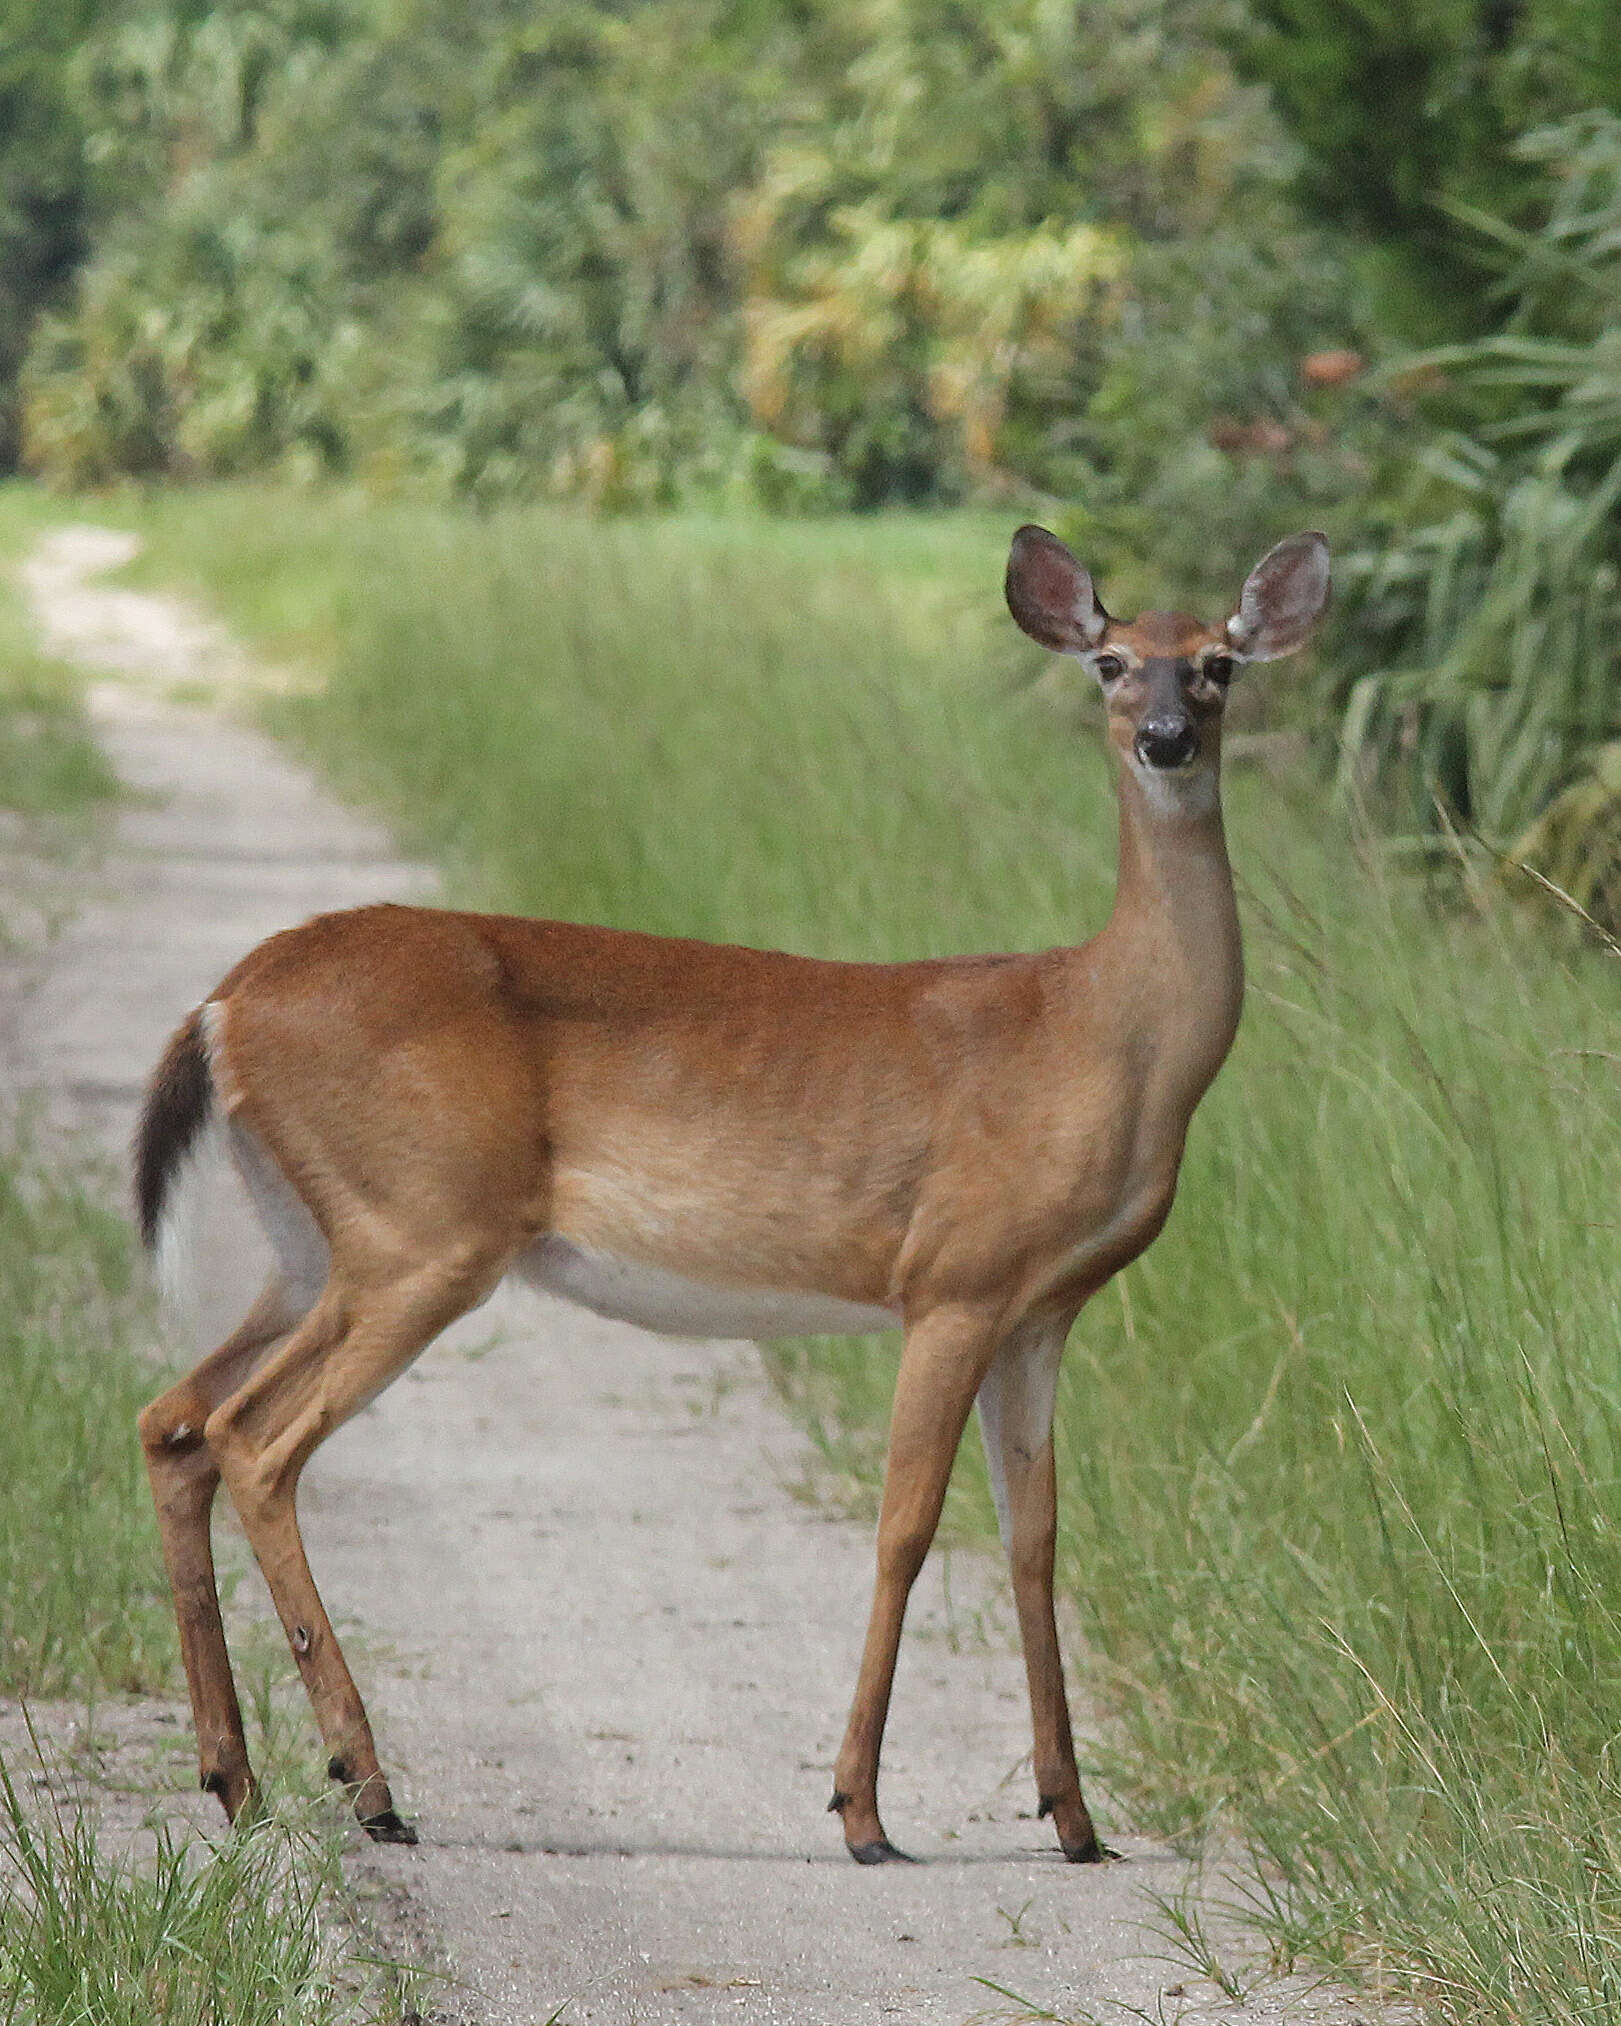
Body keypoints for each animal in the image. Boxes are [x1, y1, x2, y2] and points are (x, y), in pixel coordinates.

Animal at [132, 526, 1329, 1863]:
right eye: (1112, 662)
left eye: (1218, 662)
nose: (1165, 736)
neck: (1099, 1034)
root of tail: (225, 1002)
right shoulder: (953, 1278)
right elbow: (907, 1528)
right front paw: (860, 1808)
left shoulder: (1041, 1311)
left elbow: (1035, 1538)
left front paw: (1073, 1818)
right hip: (421, 1228)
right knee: (254, 1439)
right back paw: (367, 1783)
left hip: (313, 1239)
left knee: (175, 1418)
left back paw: (237, 1776)